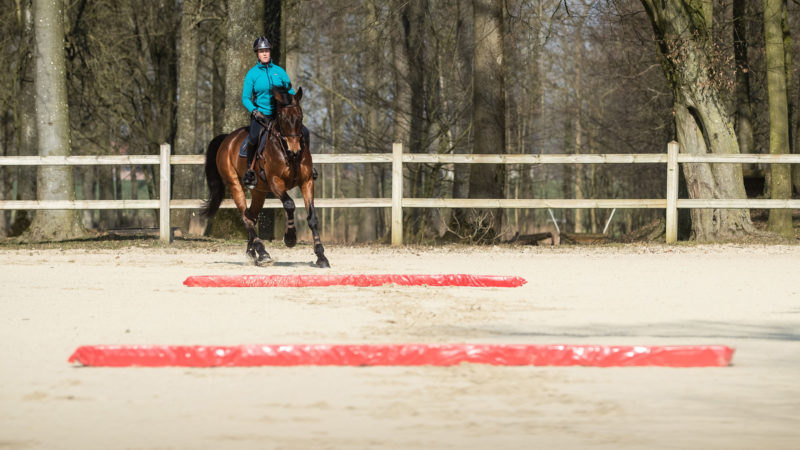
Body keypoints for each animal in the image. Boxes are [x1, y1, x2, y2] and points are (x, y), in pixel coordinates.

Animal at [202, 88, 330, 268]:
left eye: (300, 116)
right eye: (282, 117)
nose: (295, 150)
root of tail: (227, 138)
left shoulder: (307, 182)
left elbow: (312, 218)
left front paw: (321, 256)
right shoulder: (276, 182)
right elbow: (289, 204)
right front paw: (290, 238)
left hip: (259, 191)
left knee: (250, 215)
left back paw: (253, 252)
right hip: (235, 185)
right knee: (246, 217)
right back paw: (262, 253)